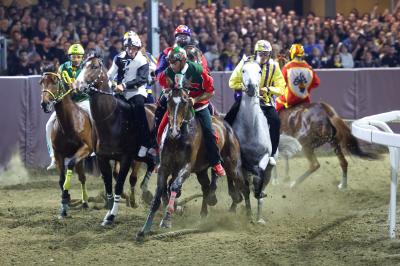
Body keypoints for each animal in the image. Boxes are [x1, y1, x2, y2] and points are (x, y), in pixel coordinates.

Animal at [39, 69, 94, 218]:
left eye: (55, 82)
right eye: (41, 82)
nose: (44, 104)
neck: (70, 123)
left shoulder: (85, 148)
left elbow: (70, 166)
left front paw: (65, 199)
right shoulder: (59, 153)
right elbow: (62, 178)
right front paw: (65, 201)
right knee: (82, 177)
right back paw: (84, 202)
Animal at [74, 54, 155, 227]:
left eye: (94, 67)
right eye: (83, 65)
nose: (77, 85)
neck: (111, 120)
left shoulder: (125, 159)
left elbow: (118, 186)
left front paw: (112, 216)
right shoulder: (102, 158)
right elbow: (108, 186)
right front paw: (108, 213)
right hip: (141, 156)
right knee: (151, 166)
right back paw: (145, 191)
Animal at [138, 83, 250, 241]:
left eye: (185, 102)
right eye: (169, 102)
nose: (174, 130)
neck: (177, 138)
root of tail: (228, 128)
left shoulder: (186, 167)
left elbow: (174, 186)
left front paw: (167, 218)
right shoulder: (164, 168)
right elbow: (159, 193)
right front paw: (144, 229)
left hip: (232, 165)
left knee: (244, 186)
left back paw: (250, 217)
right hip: (201, 170)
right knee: (206, 187)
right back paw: (204, 213)